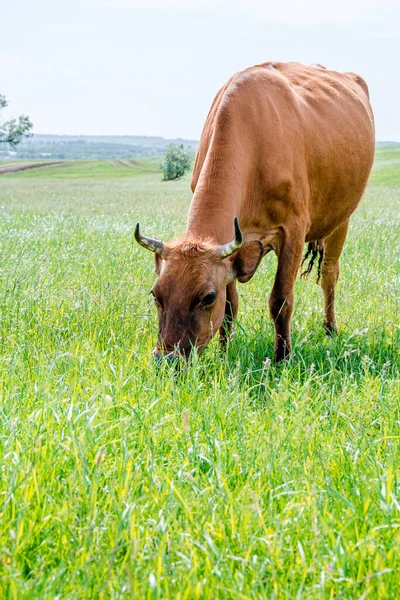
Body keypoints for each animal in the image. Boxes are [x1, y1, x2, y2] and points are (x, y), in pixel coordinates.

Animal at [135, 61, 376, 360]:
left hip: (342, 218)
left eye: (207, 297)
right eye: (156, 294)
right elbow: (230, 305)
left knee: (330, 274)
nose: (166, 359)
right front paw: (224, 353)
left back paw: (330, 330)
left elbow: (281, 299)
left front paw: (282, 357)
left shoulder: (294, 229)